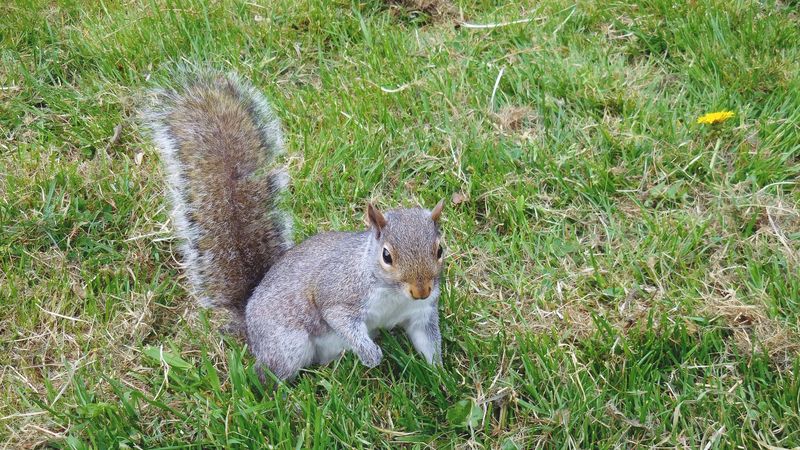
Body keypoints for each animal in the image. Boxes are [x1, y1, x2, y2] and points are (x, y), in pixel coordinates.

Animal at [143, 70, 445, 381]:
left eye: (439, 250)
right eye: (386, 255)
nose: (421, 291)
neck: (393, 293)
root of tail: (248, 322)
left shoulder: (421, 313)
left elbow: (427, 340)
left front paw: (440, 375)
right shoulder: (338, 293)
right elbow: (340, 318)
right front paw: (371, 355)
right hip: (287, 345)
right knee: (269, 374)